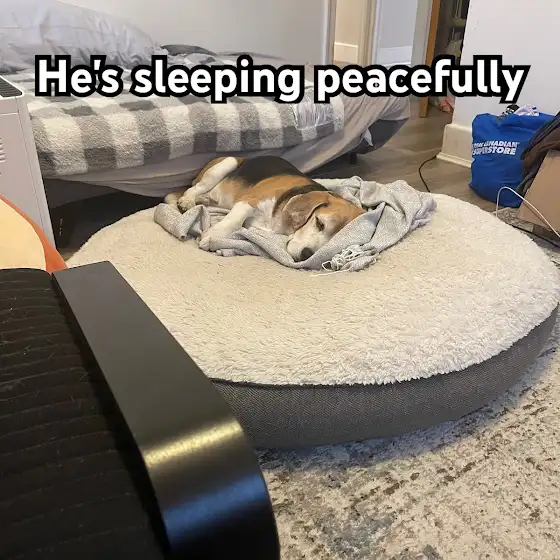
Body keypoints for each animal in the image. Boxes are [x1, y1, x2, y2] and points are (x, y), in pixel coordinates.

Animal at [165, 155, 365, 262]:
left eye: (335, 240)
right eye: (319, 223)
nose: (306, 255)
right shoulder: (250, 201)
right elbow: (234, 220)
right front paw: (213, 236)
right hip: (226, 163)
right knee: (193, 189)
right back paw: (187, 201)